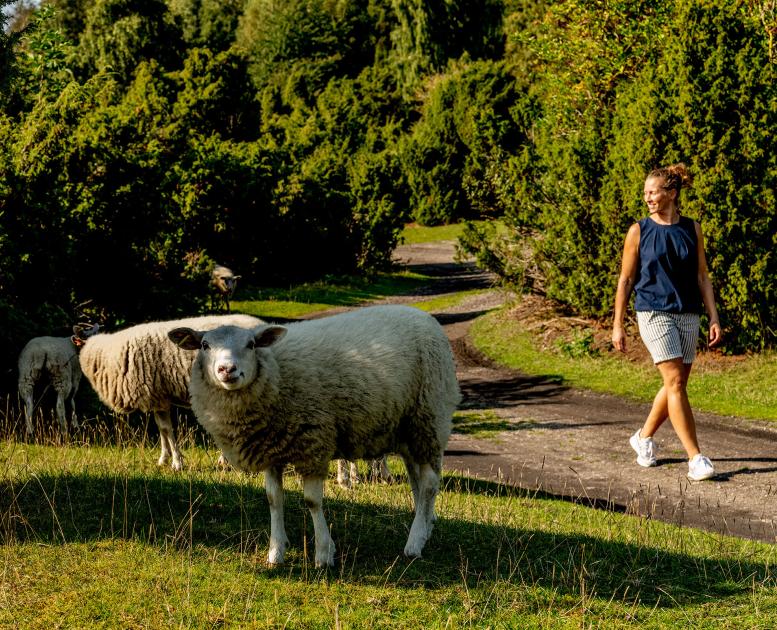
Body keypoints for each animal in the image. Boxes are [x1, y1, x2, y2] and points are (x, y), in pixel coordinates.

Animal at [76, 314, 264, 472]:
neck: (104, 353)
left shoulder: (156, 396)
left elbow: (167, 429)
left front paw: (177, 463)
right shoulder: (157, 398)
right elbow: (161, 428)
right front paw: (163, 459)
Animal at [168, 304, 460, 568]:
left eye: (251, 345)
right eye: (205, 345)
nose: (227, 370)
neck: (276, 372)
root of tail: (425, 316)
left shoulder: (313, 444)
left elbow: (312, 501)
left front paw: (323, 554)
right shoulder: (270, 449)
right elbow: (274, 499)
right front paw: (276, 552)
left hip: (429, 417)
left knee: (430, 483)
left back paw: (414, 543)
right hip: (408, 430)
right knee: (417, 481)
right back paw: (424, 527)